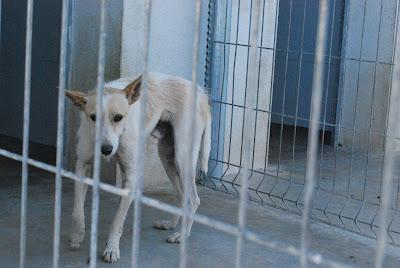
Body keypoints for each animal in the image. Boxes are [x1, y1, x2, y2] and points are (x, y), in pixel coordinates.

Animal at [64, 72, 211, 262]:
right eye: (93, 118)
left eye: (118, 117)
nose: (106, 150)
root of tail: (201, 92)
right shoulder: (82, 165)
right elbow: (77, 209)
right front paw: (77, 235)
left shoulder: (131, 177)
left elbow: (117, 221)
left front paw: (112, 248)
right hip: (167, 156)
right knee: (181, 195)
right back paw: (171, 224)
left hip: (183, 158)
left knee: (193, 199)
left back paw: (182, 234)